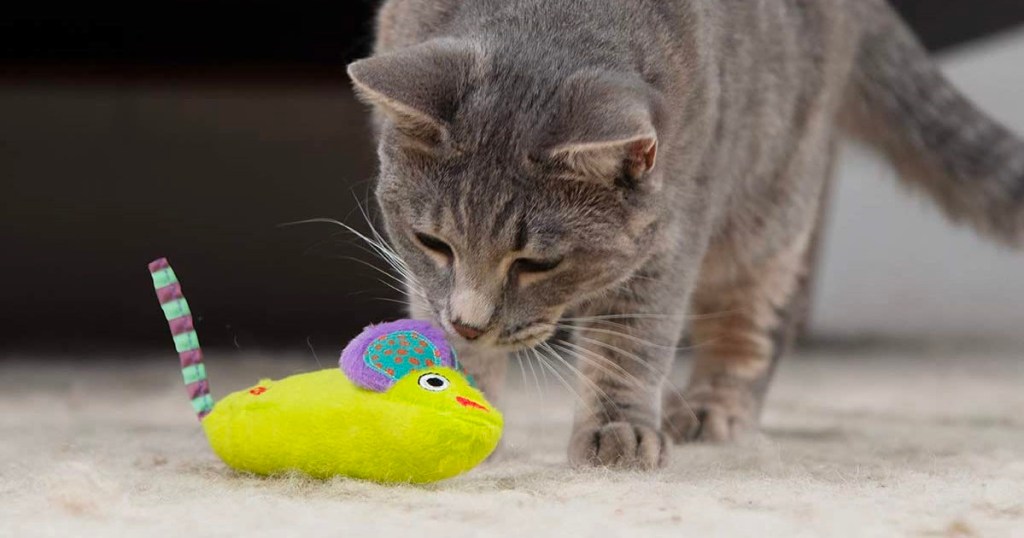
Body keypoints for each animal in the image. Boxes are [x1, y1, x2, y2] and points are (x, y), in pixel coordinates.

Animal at [346, 0, 1024, 465]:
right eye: (434, 243)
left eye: (537, 264)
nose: (470, 321)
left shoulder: (669, 236)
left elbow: (631, 342)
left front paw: (616, 429)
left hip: (772, 198)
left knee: (757, 319)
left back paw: (712, 408)